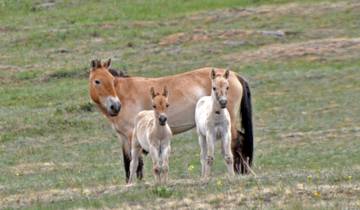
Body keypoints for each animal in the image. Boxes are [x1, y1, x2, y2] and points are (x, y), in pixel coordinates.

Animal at [89, 59, 253, 182]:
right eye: (97, 81)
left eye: (111, 81)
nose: (115, 106)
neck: (125, 94)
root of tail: (235, 75)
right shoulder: (122, 137)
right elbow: (127, 162)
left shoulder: (131, 136)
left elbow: (137, 163)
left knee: (237, 143)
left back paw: (240, 172)